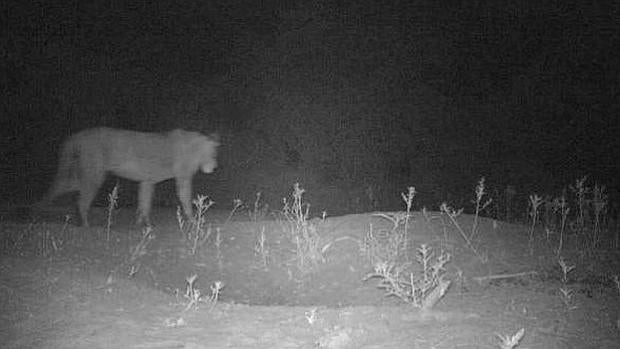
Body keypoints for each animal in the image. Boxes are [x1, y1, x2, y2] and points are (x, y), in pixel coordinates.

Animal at [42, 127, 220, 226]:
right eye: (210, 152)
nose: (214, 166)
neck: (193, 149)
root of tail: (77, 136)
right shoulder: (183, 177)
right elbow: (185, 198)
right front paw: (193, 220)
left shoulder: (147, 180)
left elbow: (144, 202)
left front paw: (143, 223)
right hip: (94, 174)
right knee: (81, 199)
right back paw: (85, 225)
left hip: (86, 174)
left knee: (61, 186)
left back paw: (44, 209)